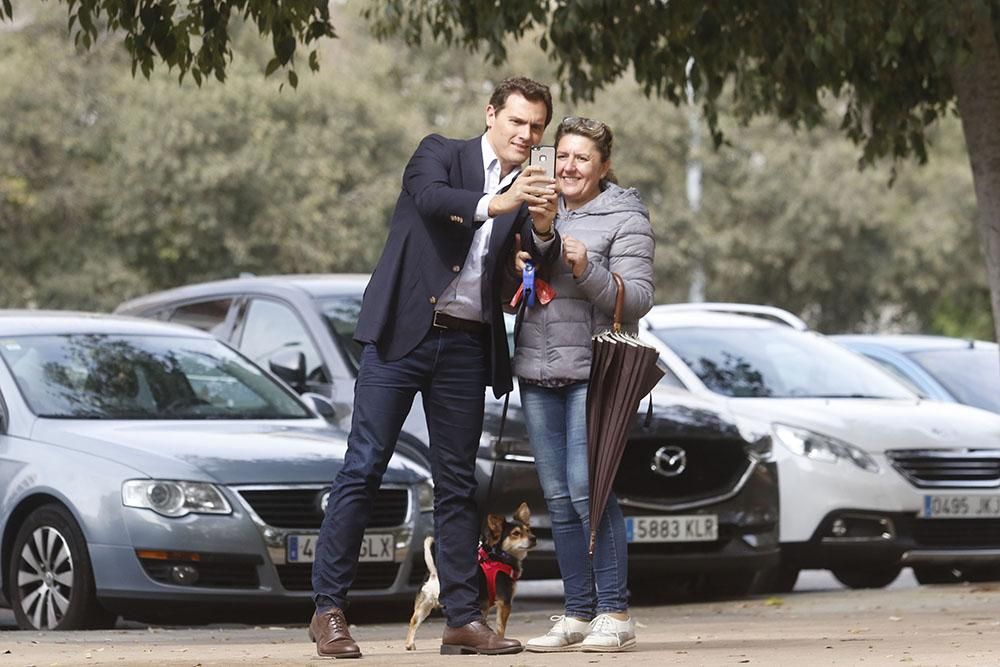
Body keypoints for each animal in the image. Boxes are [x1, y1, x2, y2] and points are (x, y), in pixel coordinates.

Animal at [402, 500, 536, 652]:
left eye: (528, 531)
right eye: (516, 533)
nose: (533, 538)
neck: (500, 556)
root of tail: (435, 574)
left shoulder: (484, 606)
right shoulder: (505, 602)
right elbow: (501, 627)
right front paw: (500, 640)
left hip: (424, 605)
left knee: (413, 621)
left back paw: (409, 644)